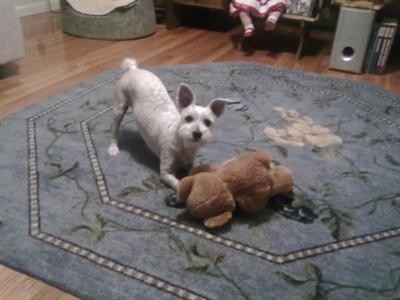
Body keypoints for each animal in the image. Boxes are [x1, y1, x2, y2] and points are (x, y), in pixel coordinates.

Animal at [109, 58, 228, 190]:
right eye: (188, 118)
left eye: (208, 122)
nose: (197, 134)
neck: (182, 143)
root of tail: (133, 69)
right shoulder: (166, 171)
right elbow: (178, 183)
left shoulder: (190, 163)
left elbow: (195, 172)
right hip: (119, 107)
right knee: (114, 129)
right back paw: (113, 148)